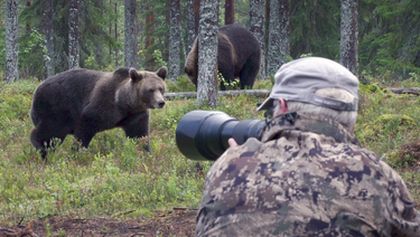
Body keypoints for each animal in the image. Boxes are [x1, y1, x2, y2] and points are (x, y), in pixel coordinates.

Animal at [29, 66, 167, 159]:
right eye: (150, 90)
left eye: (161, 88)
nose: (161, 102)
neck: (124, 103)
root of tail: (38, 88)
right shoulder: (101, 106)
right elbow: (84, 128)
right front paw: (77, 151)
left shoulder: (136, 116)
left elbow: (140, 135)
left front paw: (146, 152)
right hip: (57, 107)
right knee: (51, 131)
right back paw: (42, 149)